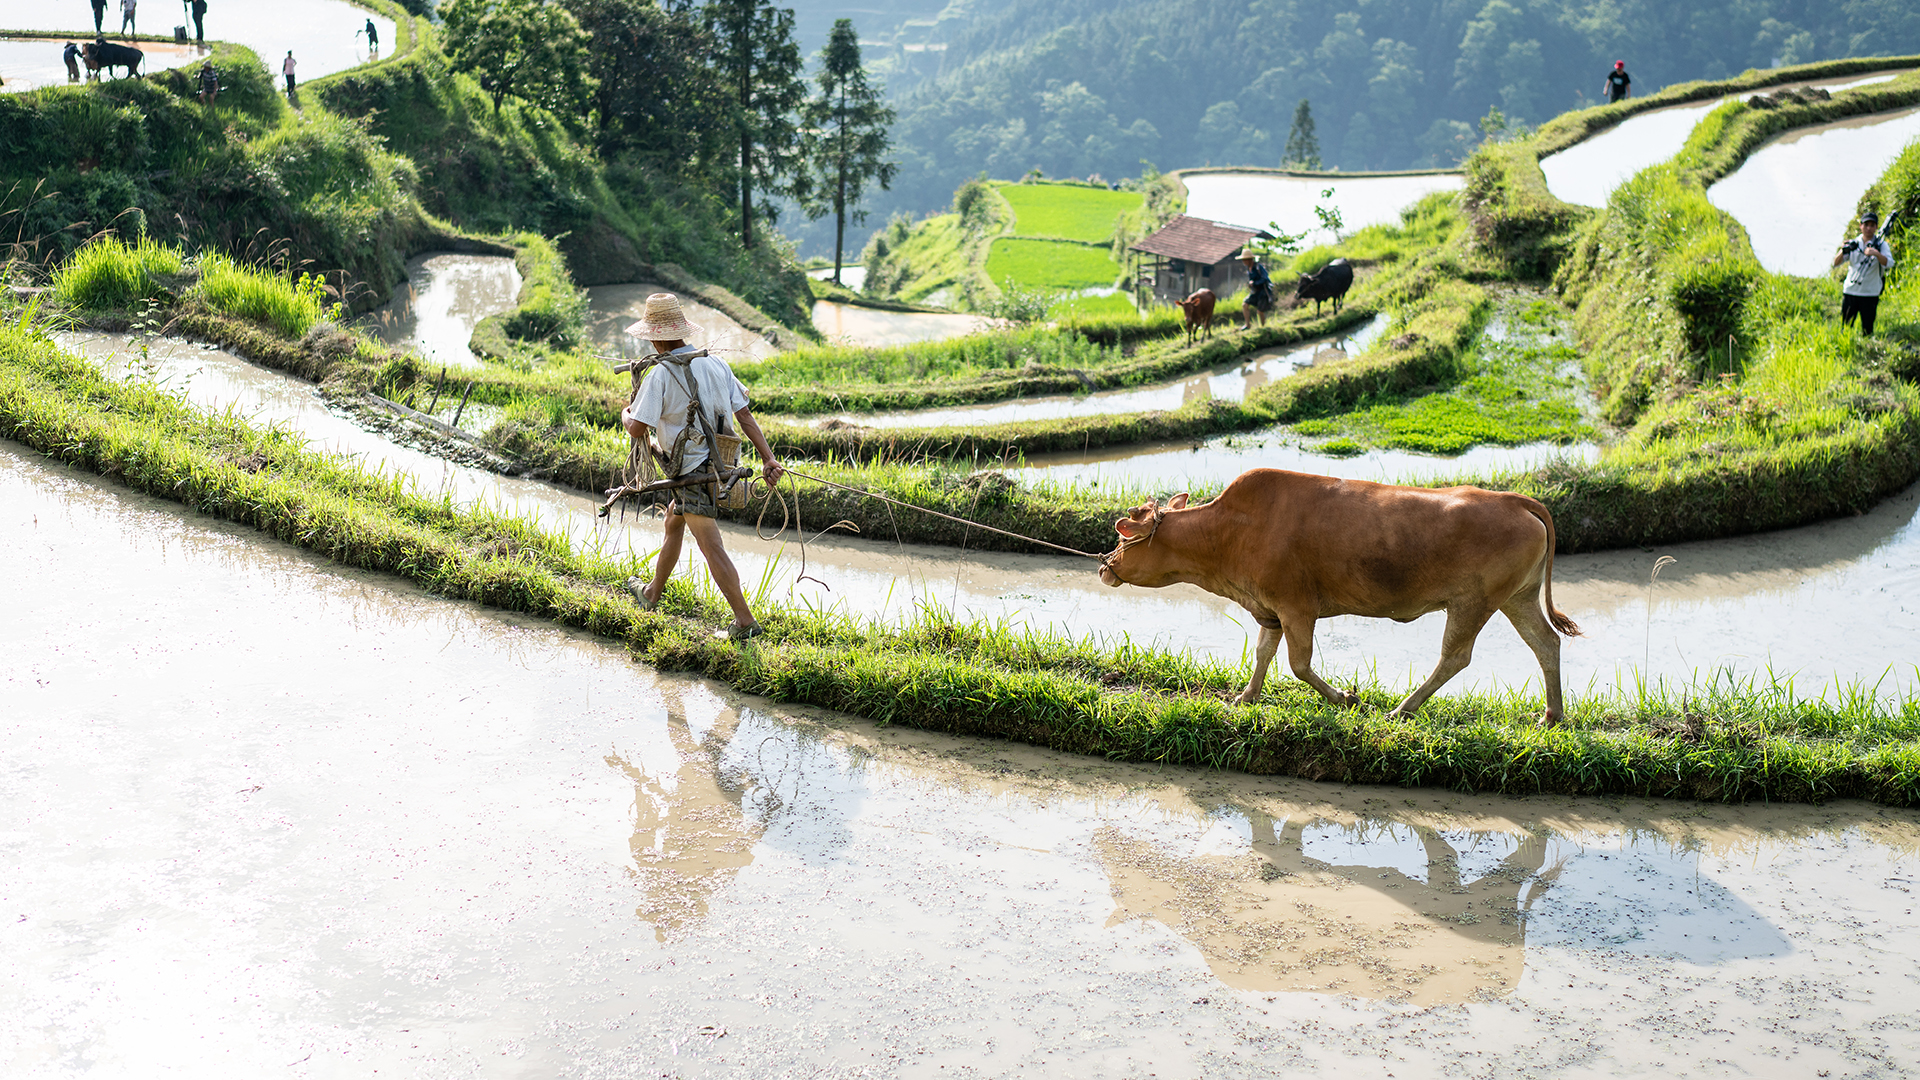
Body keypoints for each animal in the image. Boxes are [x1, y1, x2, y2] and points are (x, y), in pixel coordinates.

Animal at [1105, 466, 1582, 718]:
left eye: (1124, 538)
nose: (1105, 566)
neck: (1227, 533)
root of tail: (1514, 499)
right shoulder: (1269, 610)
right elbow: (1262, 654)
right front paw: (1245, 697)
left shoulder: (1296, 606)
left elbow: (1298, 664)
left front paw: (1345, 697)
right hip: (1517, 597)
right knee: (1546, 643)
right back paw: (1552, 716)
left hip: (1473, 603)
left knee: (1455, 657)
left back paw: (1403, 709)